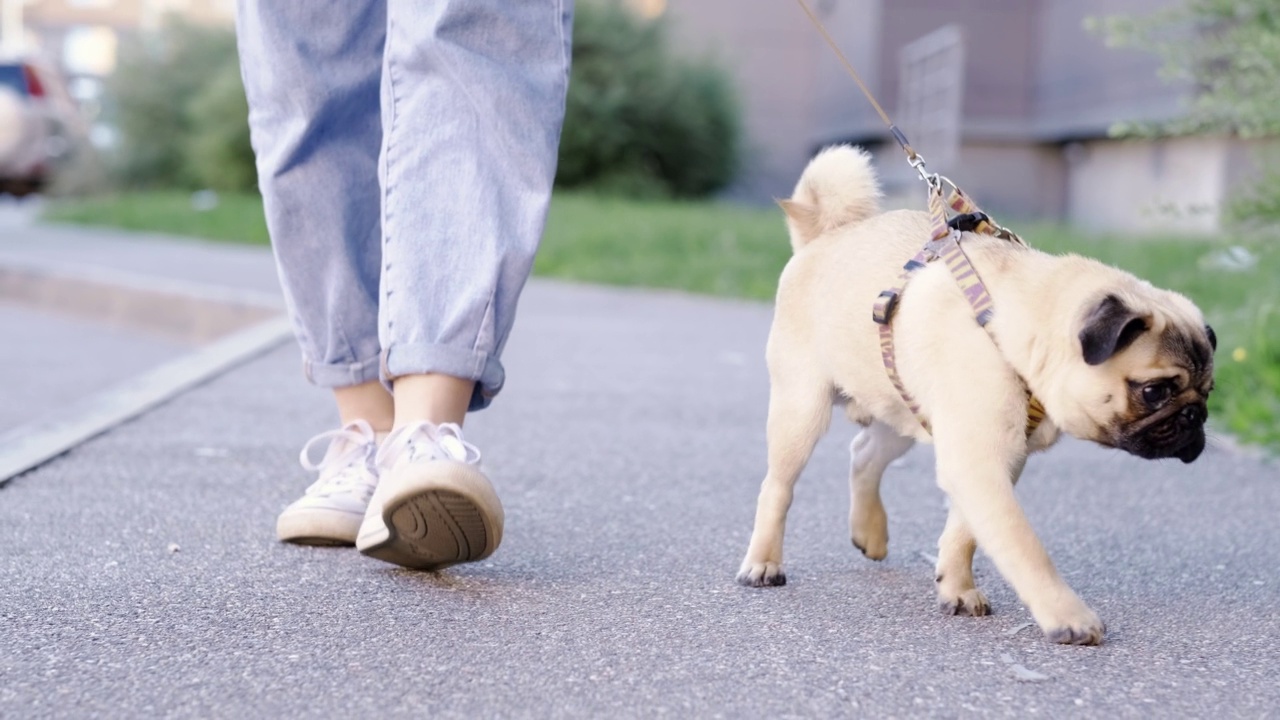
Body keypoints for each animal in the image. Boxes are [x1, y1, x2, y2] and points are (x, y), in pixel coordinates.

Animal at [737, 146, 1213, 645]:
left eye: (1209, 391)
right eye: (1154, 391)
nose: (1194, 418)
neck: (1010, 327)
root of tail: (821, 238)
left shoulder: (994, 460)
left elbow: (965, 532)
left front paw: (957, 587)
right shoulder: (979, 463)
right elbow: (1024, 547)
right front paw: (1067, 616)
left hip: (900, 410)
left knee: (865, 454)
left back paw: (870, 532)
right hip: (802, 408)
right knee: (778, 487)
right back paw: (763, 563)